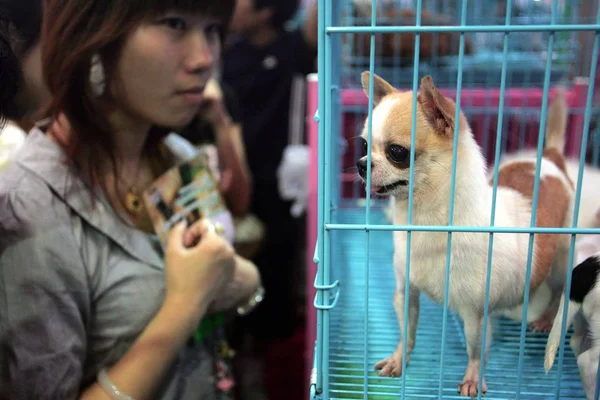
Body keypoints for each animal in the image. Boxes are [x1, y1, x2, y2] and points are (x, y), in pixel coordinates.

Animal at [358, 72, 576, 396]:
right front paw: (399, 359)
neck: (425, 221)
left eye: (397, 153)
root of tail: (549, 158)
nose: (360, 164)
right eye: (363, 144)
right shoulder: (406, 292)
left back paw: (548, 318)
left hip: (562, 259)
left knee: (560, 289)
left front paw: (473, 378)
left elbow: (475, 350)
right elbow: (407, 332)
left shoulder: (474, 315)